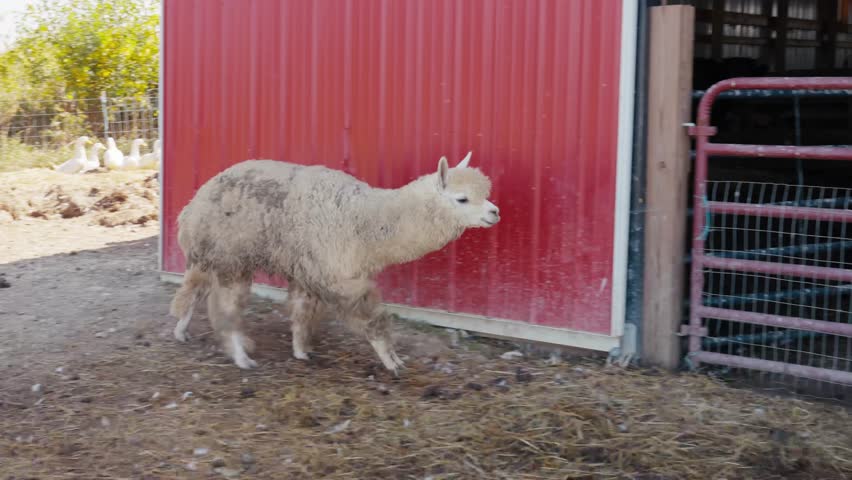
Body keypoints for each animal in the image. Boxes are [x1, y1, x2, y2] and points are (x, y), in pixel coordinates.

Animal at [169, 152, 500, 374]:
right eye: (462, 199)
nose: (495, 212)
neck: (365, 221)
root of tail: (197, 200)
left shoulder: (310, 268)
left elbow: (302, 311)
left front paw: (301, 351)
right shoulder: (340, 274)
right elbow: (374, 318)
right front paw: (392, 360)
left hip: (214, 254)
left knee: (194, 289)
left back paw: (181, 330)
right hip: (231, 256)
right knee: (225, 307)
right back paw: (241, 357)